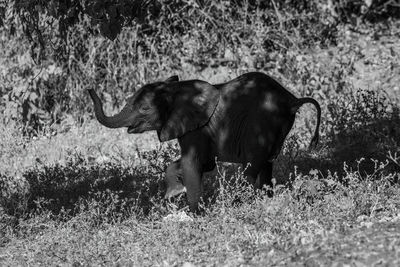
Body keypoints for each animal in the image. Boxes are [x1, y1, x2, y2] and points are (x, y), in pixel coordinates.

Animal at [88, 71, 322, 214]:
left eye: (145, 109)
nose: (90, 89)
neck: (176, 91)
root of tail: (292, 99)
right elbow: (199, 164)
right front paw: (174, 193)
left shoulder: (196, 128)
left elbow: (192, 163)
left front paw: (194, 213)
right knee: (266, 165)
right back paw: (264, 200)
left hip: (262, 123)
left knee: (251, 168)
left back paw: (241, 201)